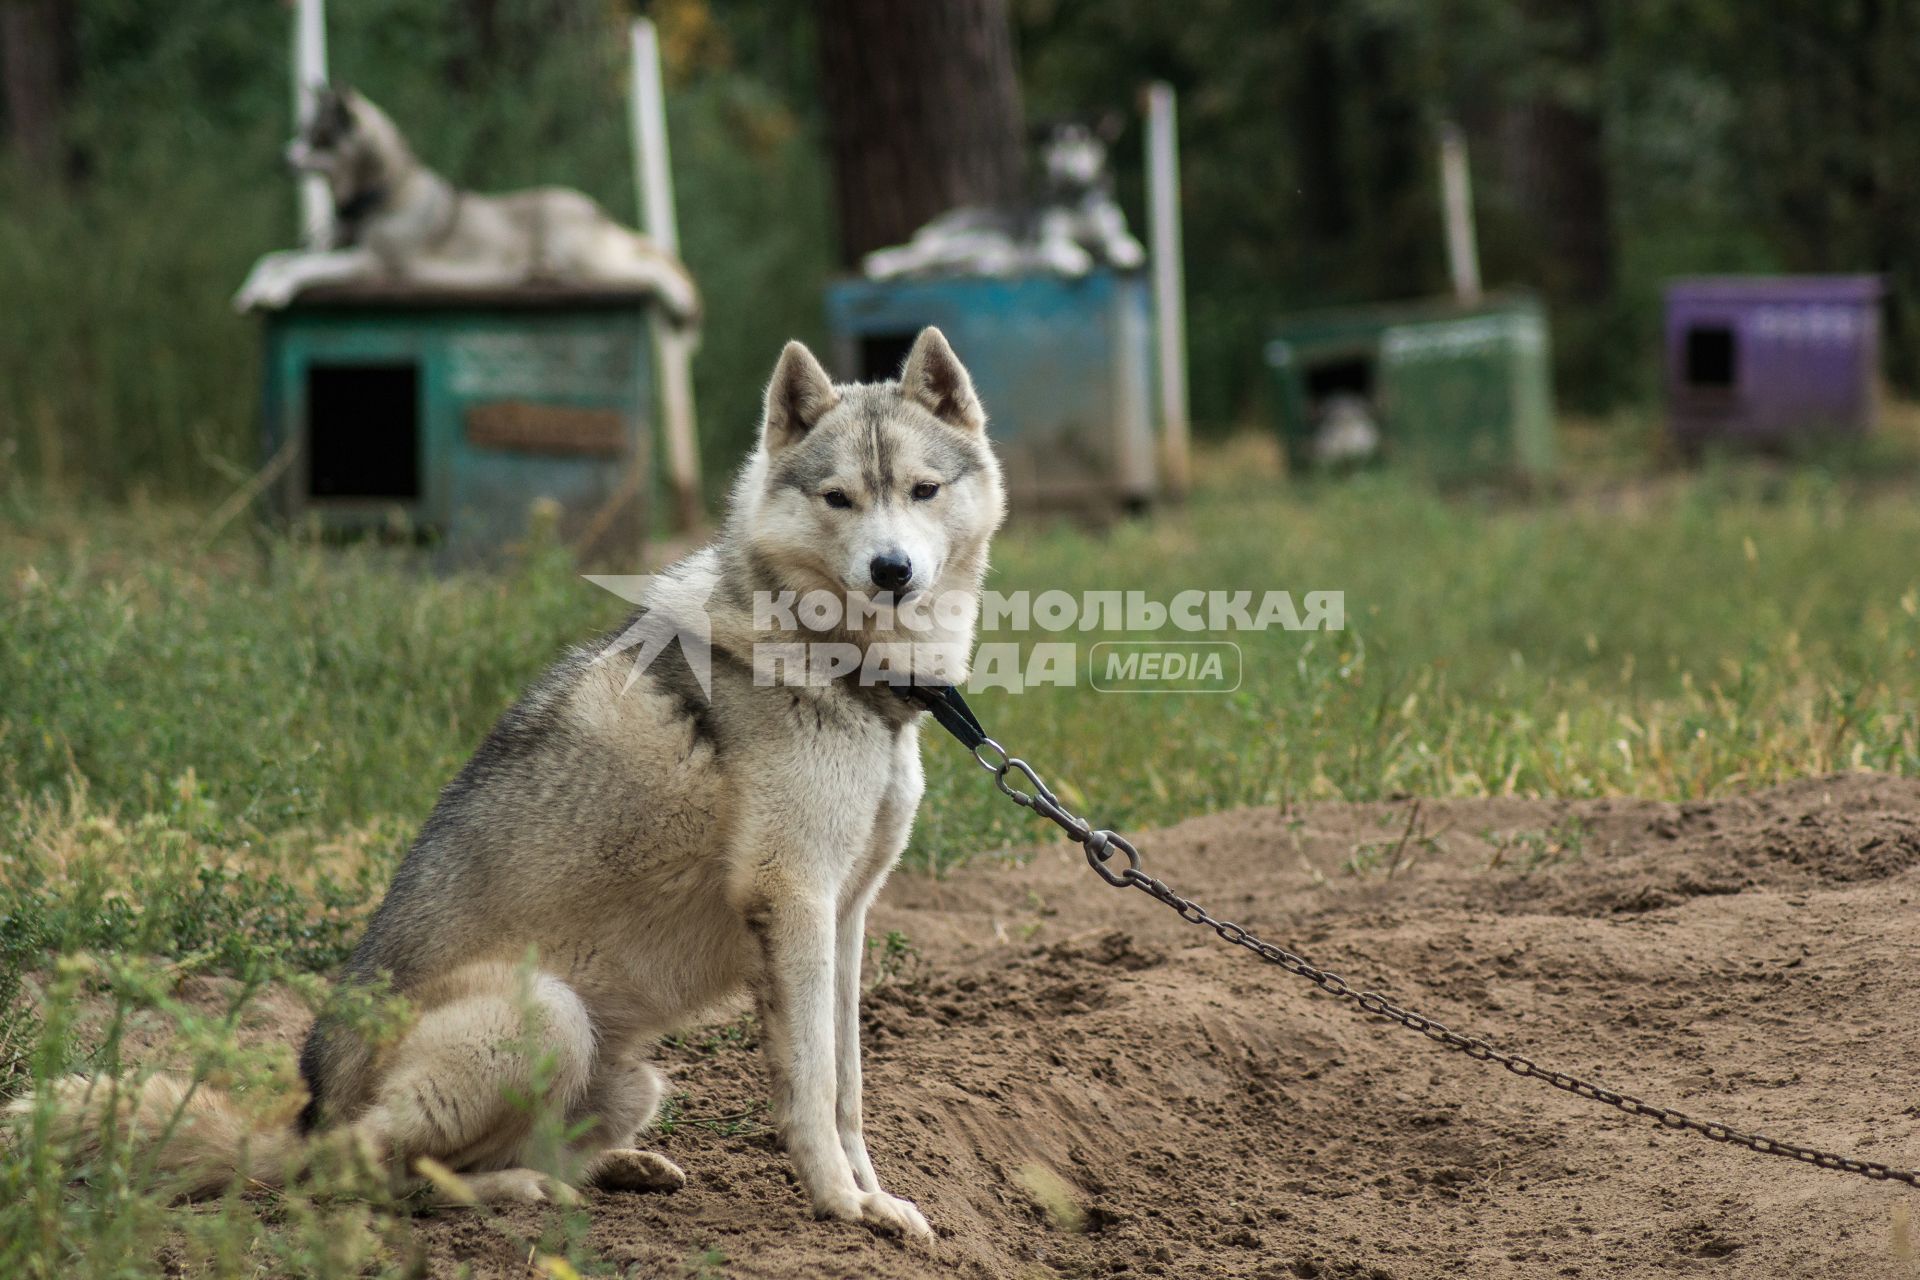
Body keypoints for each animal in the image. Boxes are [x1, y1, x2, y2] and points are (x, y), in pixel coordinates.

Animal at [22, 328, 998, 1243]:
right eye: (838, 498)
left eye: (922, 491)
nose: (891, 571)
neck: (847, 674)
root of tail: (305, 1120)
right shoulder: (793, 900)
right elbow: (812, 1091)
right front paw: (844, 1207)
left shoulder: (846, 912)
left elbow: (849, 1087)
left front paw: (875, 1196)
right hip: (546, 1015)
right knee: (371, 1174)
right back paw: (517, 1194)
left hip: (636, 1079)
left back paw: (616, 1172)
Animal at [232, 86, 698, 322]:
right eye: (302, 130)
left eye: (319, 138)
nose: (281, 158)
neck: (374, 199)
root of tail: (592, 207)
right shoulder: (332, 248)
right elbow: (275, 258)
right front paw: (252, 288)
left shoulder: (373, 263)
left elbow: (303, 268)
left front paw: (274, 291)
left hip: (586, 260)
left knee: (651, 268)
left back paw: (679, 299)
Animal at [864, 118, 1144, 282]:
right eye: (1054, 146)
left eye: (1085, 143)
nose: (1068, 172)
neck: (1075, 200)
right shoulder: (1049, 241)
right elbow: (1060, 248)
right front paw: (1072, 259)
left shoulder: (1111, 231)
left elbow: (1120, 240)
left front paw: (1127, 253)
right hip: (972, 240)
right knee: (915, 255)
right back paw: (880, 264)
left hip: (985, 248)